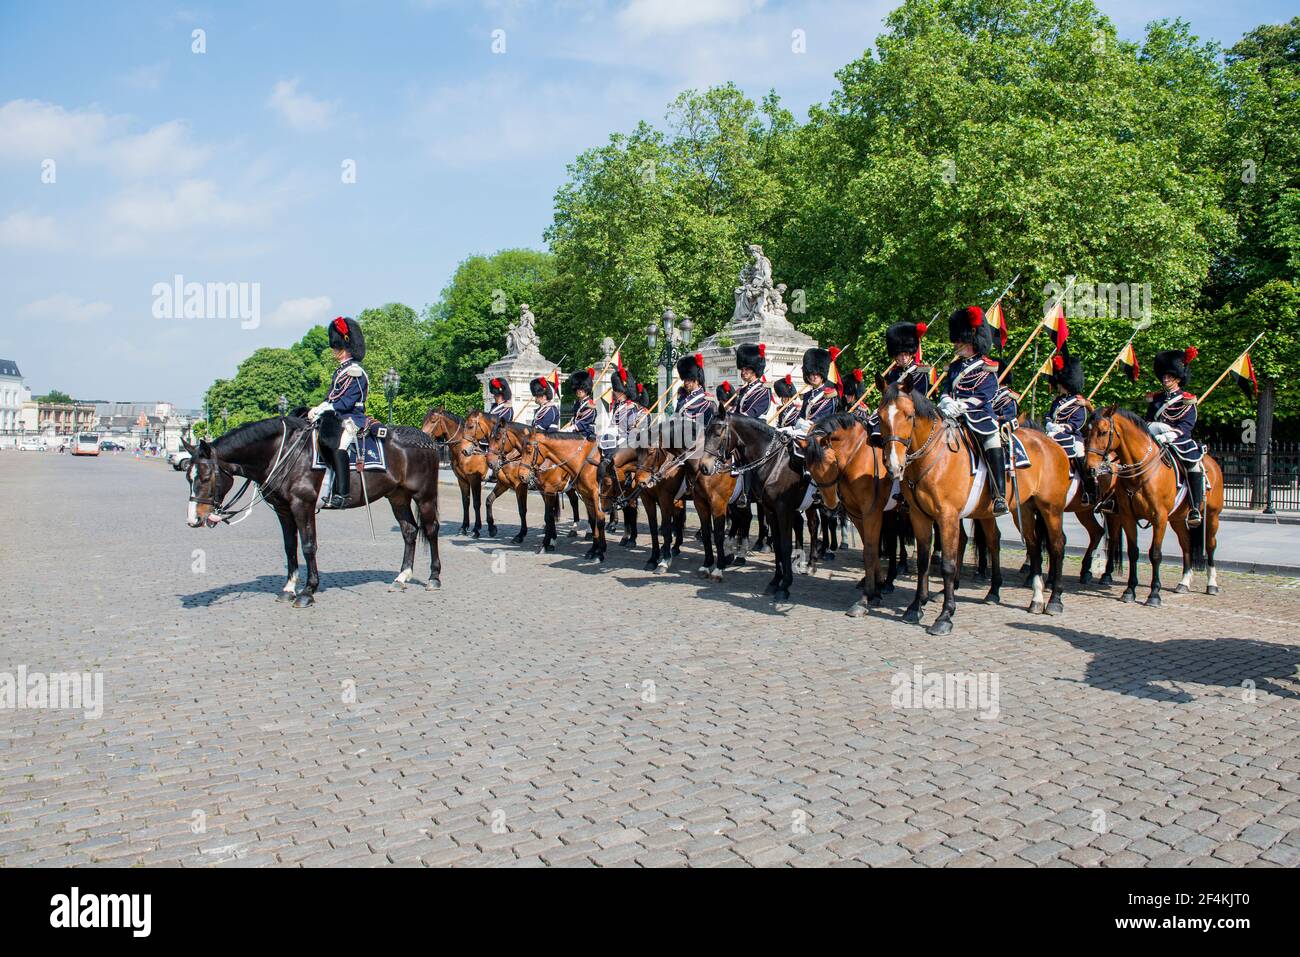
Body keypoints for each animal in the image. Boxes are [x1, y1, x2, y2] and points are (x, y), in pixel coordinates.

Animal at [184, 410, 441, 605]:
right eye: (188, 476)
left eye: (205, 477)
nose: (194, 520)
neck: (284, 453)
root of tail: (426, 439)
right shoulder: (284, 510)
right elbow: (290, 547)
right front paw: (289, 588)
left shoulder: (303, 505)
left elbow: (308, 546)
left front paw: (308, 591)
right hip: (397, 497)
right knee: (409, 531)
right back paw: (402, 577)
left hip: (424, 496)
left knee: (430, 530)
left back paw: (434, 577)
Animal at [878, 384, 1071, 631]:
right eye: (881, 416)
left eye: (909, 416)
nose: (894, 465)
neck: (934, 457)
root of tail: (1052, 443)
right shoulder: (919, 516)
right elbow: (923, 562)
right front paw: (915, 608)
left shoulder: (947, 517)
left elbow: (948, 565)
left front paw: (945, 616)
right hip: (1025, 510)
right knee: (1032, 544)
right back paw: (1032, 598)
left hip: (1051, 508)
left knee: (1057, 545)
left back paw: (1055, 600)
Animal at [1081, 405, 1222, 605]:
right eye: (1086, 432)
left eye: (1103, 432)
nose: (1089, 468)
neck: (1139, 474)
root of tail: (1212, 462)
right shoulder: (1127, 517)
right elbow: (1133, 552)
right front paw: (1129, 590)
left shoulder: (1159, 518)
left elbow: (1155, 554)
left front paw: (1154, 593)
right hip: (1177, 518)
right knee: (1186, 544)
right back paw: (1184, 582)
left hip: (1212, 516)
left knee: (1210, 545)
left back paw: (1212, 584)